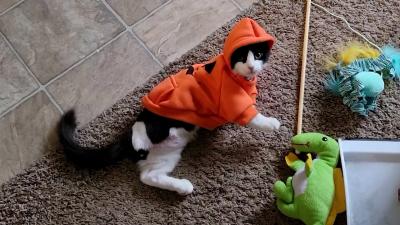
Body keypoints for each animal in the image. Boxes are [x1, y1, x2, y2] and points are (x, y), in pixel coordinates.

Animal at [59, 18, 282, 195]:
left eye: (259, 54)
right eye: (242, 57)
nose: (252, 67)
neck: (238, 77)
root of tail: (126, 139)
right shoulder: (231, 102)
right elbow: (252, 116)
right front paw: (272, 123)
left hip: (165, 155)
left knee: (149, 176)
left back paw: (182, 186)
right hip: (153, 128)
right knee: (144, 147)